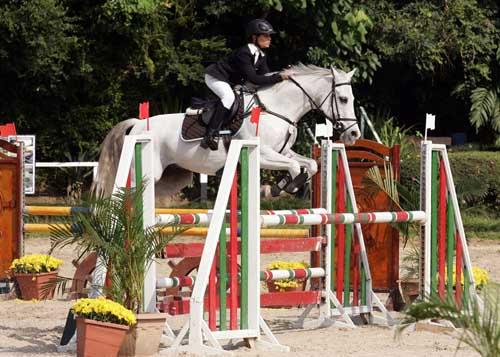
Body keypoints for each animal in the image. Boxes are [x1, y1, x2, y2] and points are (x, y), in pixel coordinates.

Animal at [93, 64, 360, 203]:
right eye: (343, 99)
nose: (354, 134)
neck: (277, 108)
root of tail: (137, 125)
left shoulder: (283, 152)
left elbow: (309, 165)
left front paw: (282, 187)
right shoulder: (263, 154)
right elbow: (295, 168)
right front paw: (280, 188)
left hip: (169, 178)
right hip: (143, 173)